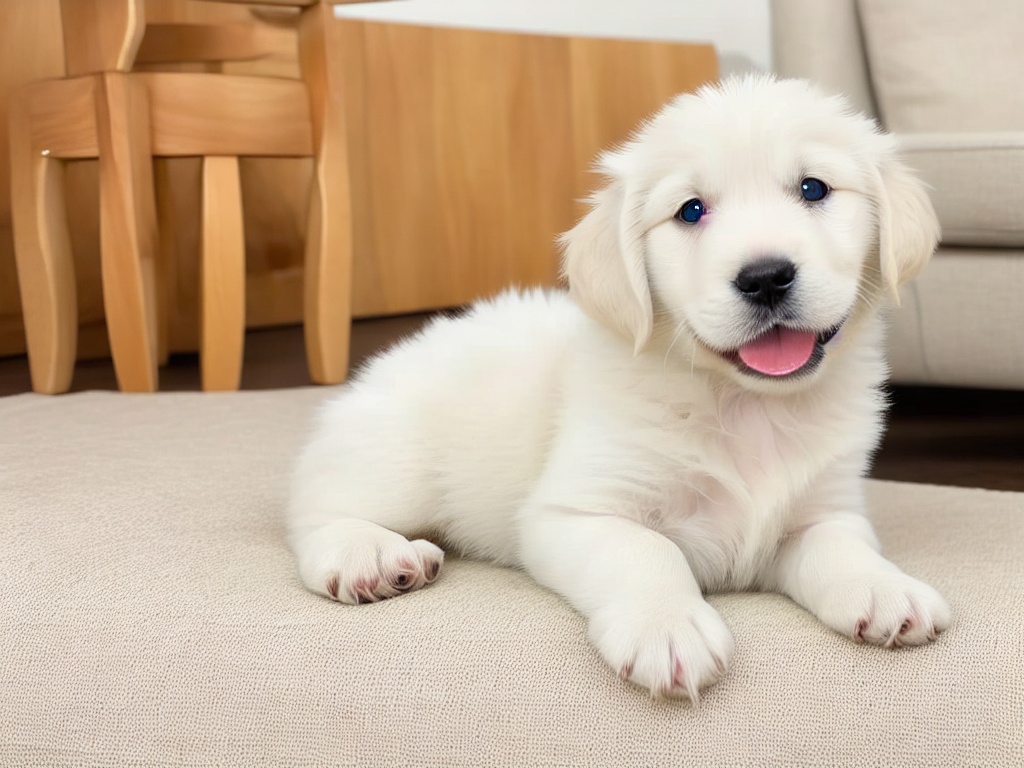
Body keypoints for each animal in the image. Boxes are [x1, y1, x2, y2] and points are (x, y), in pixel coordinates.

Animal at [288, 76, 950, 704]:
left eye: (813, 189)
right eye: (690, 211)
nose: (765, 277)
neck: (746, 405)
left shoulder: (825, 508)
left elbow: (842, 548)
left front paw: (887, 589)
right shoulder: (576, 511)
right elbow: (648, 553)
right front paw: (668, 627)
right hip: (396, 462)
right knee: (313, 511)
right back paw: (369, 556)